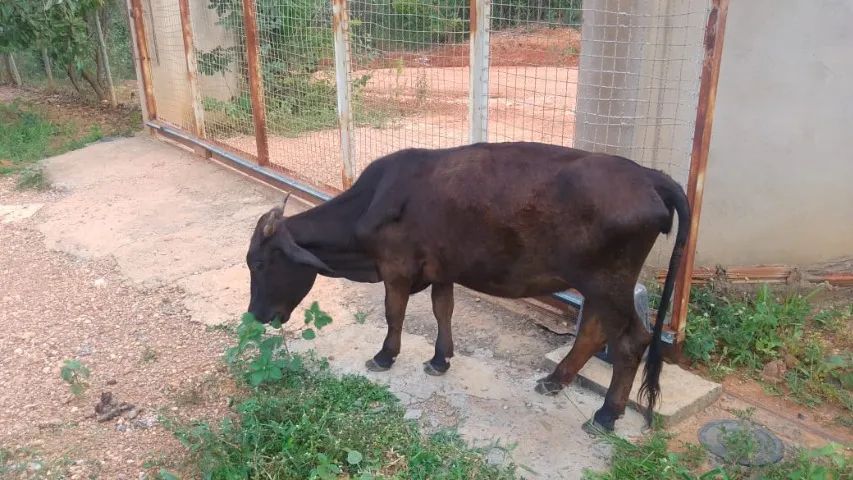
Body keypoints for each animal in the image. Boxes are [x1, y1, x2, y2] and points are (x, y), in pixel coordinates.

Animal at [245, 142, 689, 432]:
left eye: (260, 262)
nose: (255, 315)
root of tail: (649, 175)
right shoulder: (442, 268)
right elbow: (443, 310)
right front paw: (440, 359)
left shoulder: (396, 268)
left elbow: (394, 313)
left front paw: (385, 356)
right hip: (597, 285)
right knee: (594, 332)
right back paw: (554, 381)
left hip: (609, 283)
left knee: (631, 341)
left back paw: (606, 415)